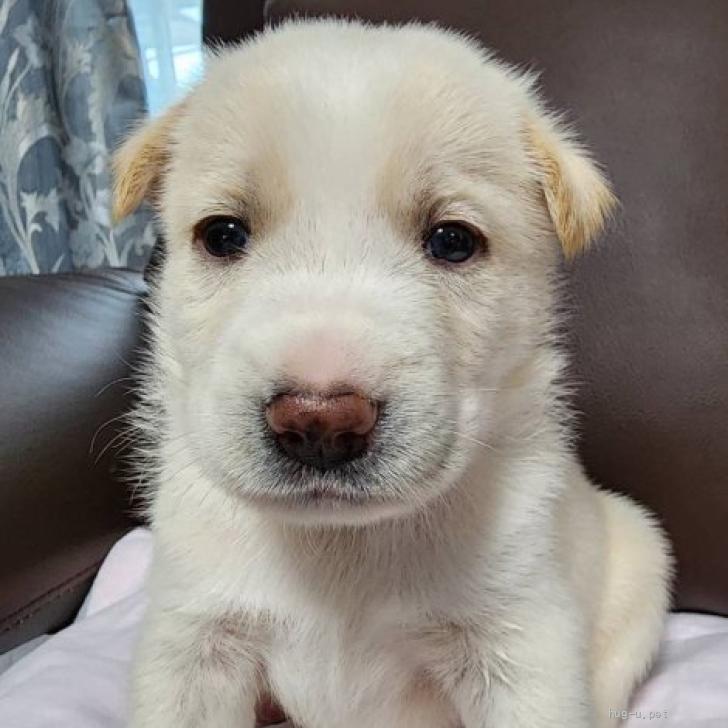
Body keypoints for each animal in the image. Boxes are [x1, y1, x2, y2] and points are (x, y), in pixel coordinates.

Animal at [112, 17, 672, 728]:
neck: (343, 545)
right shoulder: (193, 642)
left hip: (640, 562)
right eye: (223, 235)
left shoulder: (520, 648)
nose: (319, 422)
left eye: (453, 241)